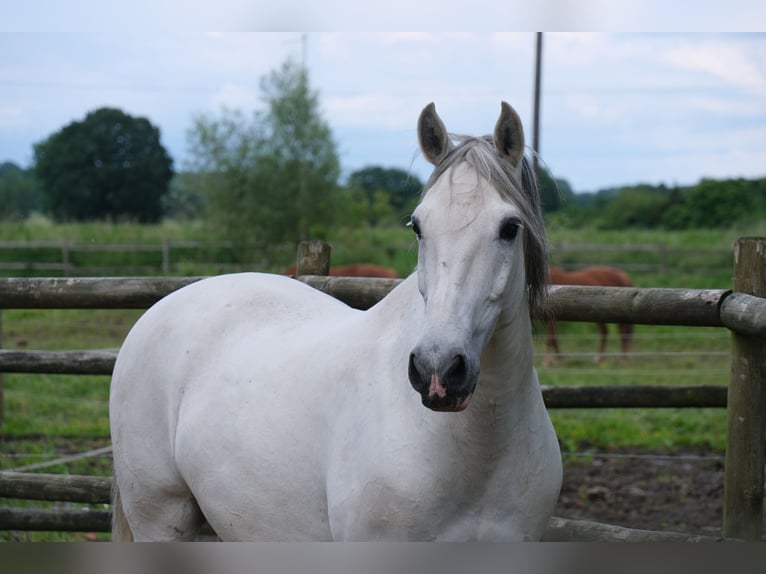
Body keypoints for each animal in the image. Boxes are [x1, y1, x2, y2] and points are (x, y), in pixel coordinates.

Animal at [109, 101, 564, 544]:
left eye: (510, 228)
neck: (477, 451)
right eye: (418, 226)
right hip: (161, 518)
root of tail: (161, 307)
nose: (438, 370)